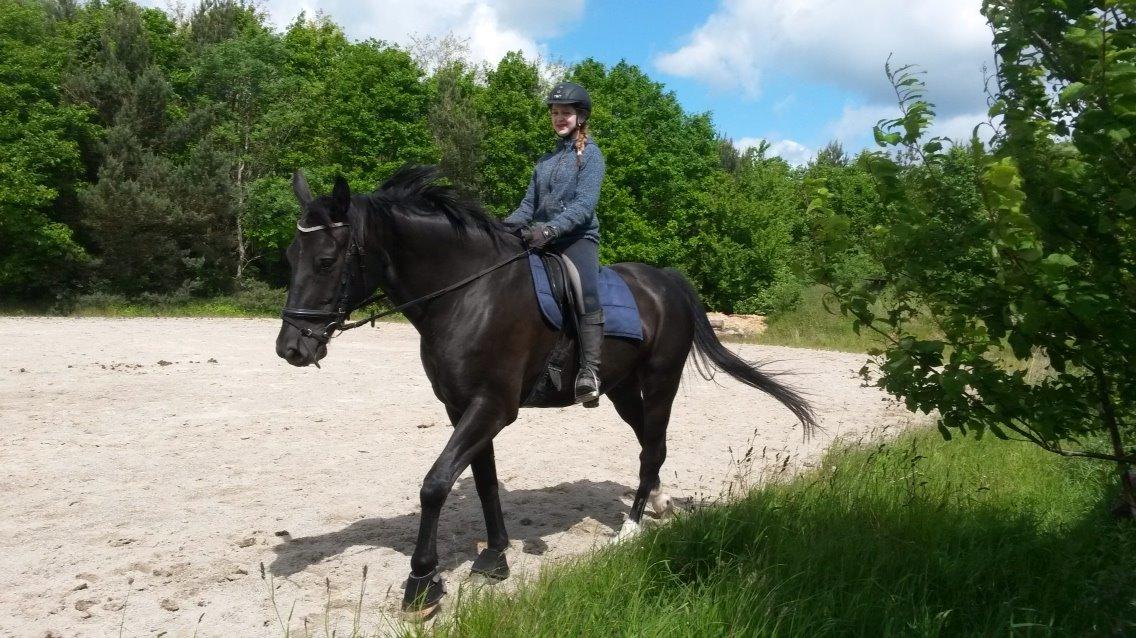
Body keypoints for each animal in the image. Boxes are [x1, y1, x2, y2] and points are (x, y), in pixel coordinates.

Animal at [276, 166, 817, 613]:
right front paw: (495, 558)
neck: (468, 295)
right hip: (621, 390)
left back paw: (630, 529)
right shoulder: (462, 408)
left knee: (653, 447)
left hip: (662, 381)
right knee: (649, 443)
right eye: (290, 256)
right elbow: (485, 482)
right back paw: (658, 505)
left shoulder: (493, 406)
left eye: (326, 260)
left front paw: (422, 585)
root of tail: (666, 281)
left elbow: (435, 484)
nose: (291, 347)